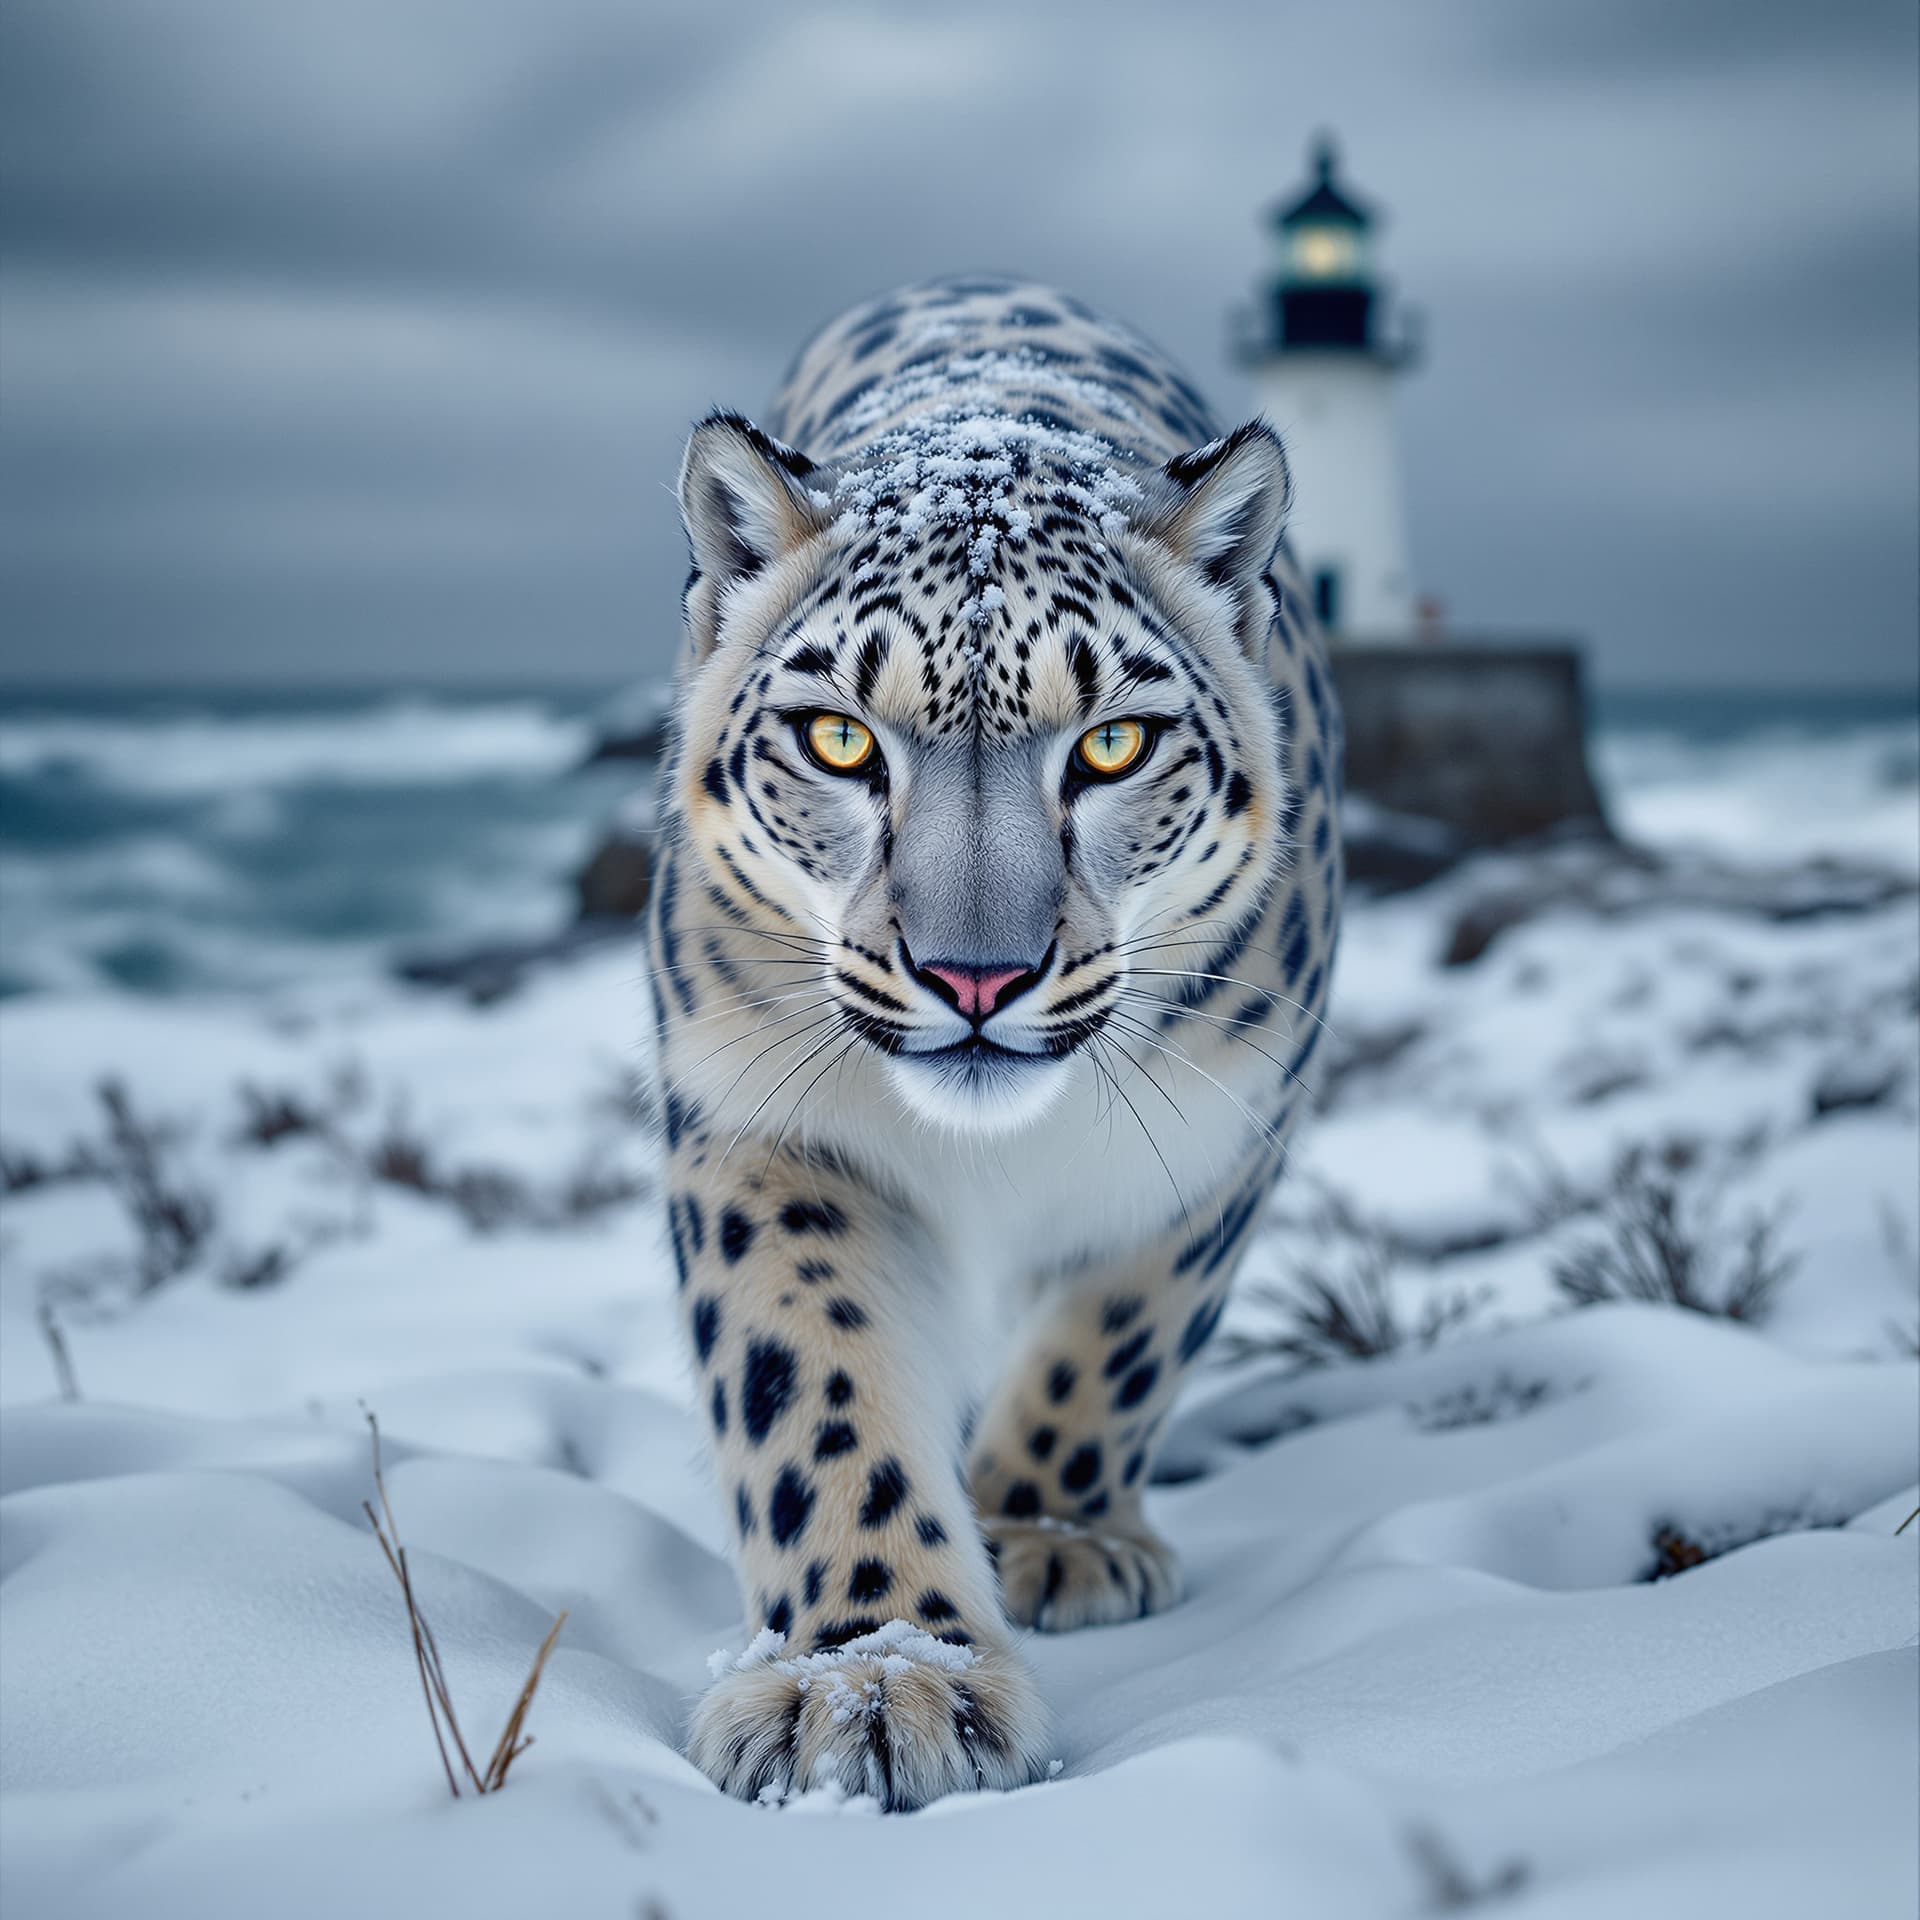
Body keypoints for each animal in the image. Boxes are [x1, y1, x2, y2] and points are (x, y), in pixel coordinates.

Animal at [645, 275, 1342, 1811]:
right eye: (841, 740)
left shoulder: (1233, 1119)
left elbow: (1125, 1332)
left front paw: (1046, 1535)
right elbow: (811, 1382)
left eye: (1113, 746)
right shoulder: (755, 1117)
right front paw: (871, 1680)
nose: (976, 974)